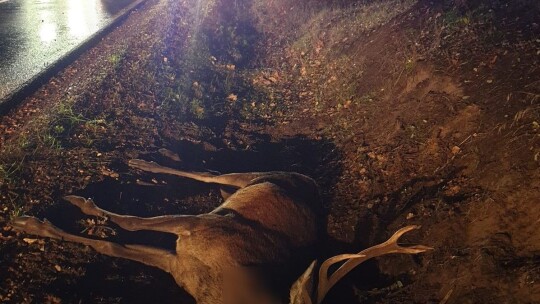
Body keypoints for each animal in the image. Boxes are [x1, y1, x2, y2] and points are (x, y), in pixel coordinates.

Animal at [10, 159, 432, 304]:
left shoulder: (180, 267)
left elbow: (114, 248)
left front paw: (38, 224)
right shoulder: (201, 224)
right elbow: (130, 223)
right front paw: (32, 220)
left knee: (212, 178)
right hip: (252, 175)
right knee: (209, 173)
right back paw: (142, 162)